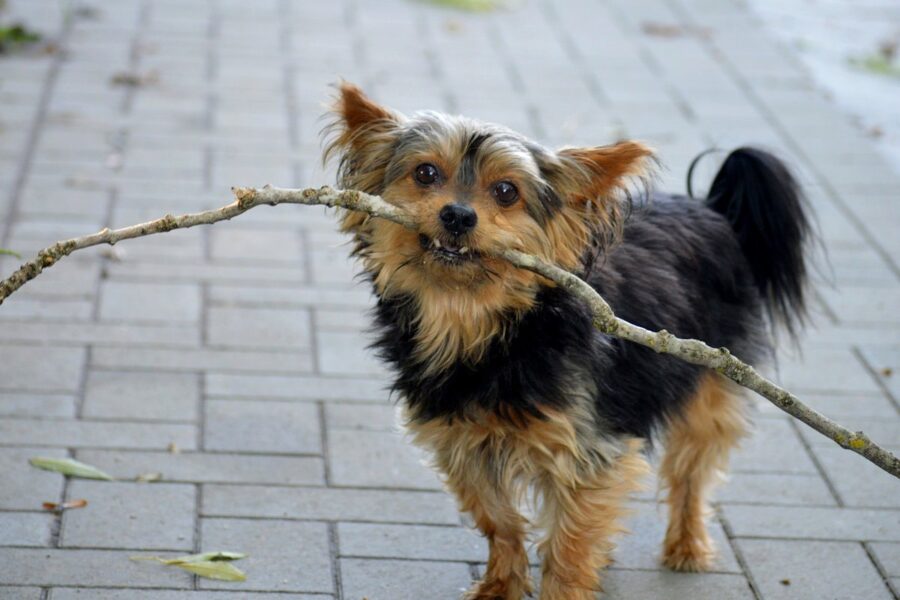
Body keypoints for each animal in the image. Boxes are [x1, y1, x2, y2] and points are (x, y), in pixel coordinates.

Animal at [322, 83, 808, 600]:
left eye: (506, 191)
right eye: (425, 173)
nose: (456, 216)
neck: (482, 326)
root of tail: (711, 209)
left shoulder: (586, 451)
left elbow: (568, 545)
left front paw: (564, 586)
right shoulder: (461, 444)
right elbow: (500, 521)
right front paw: (500, 585)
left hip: (709, 385)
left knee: (691, 473)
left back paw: (687, 543)